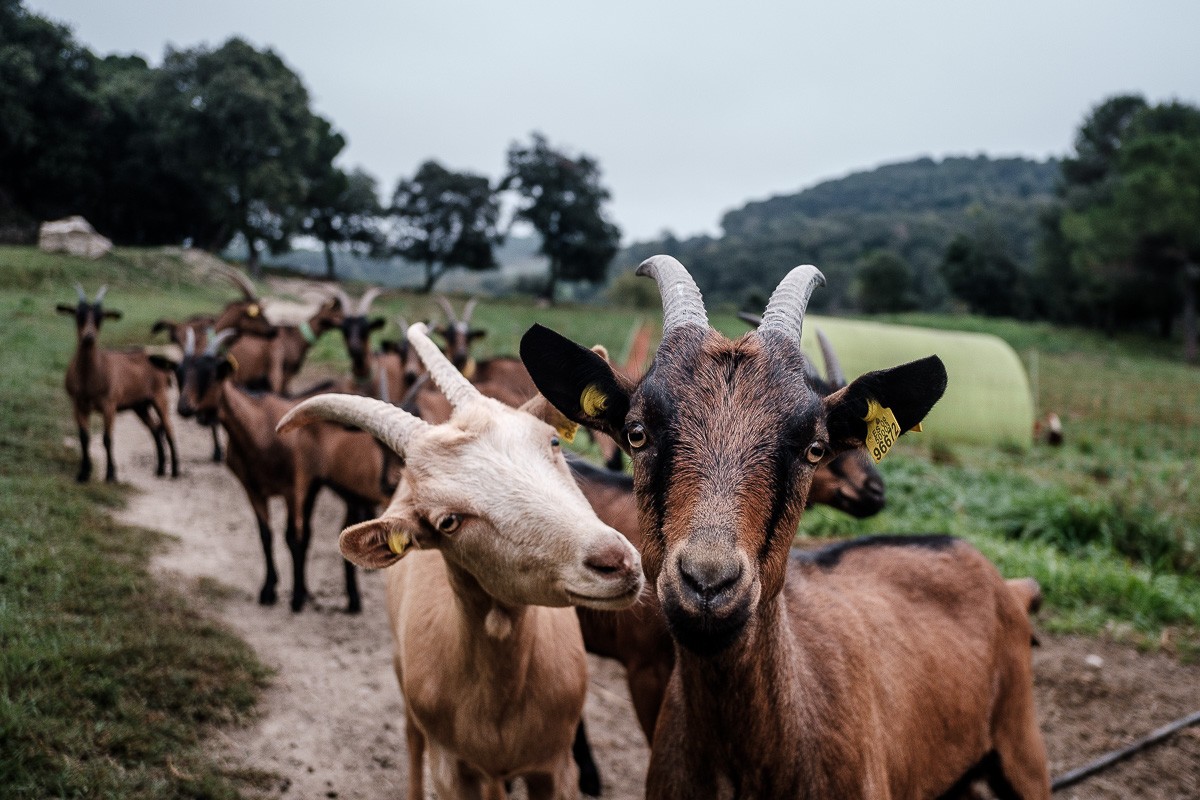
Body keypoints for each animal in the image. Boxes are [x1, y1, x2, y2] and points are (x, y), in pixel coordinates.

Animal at [57, 284, 178, 482]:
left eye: (100, 317)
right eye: (78, 315)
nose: (89, 337)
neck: (90, 377)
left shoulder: (109, 404)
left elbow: (107, 438)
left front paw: (111, 474)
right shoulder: (78, 403)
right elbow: (84, 437)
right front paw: (83, 474)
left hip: (160, 396)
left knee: (168, 428)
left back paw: (175, 470)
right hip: (140, 405)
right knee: (154, 428)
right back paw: (160, 469)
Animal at [174, 330, 386, 611]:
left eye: (212, 374)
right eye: (180, 372)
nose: (184, 408)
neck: (259, 429)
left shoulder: (292, 488)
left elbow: (292, 538)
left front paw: (295, 598)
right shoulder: (253, 488)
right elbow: (267, 535)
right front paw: (269, 590)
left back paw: (352, 599)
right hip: (316, 484)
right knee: (312, 531)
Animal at [275, 322, 645, 800]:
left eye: (552, 442)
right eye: (448, 521)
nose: (614, 561)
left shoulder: (555, 767)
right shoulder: (450, 767)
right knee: (411, 737)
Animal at [520, 255, 1050, 799]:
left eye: (814, 447)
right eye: (637, 433)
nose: (708, 583)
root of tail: (1006, 582)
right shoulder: (644, 668)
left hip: (1024, 750)